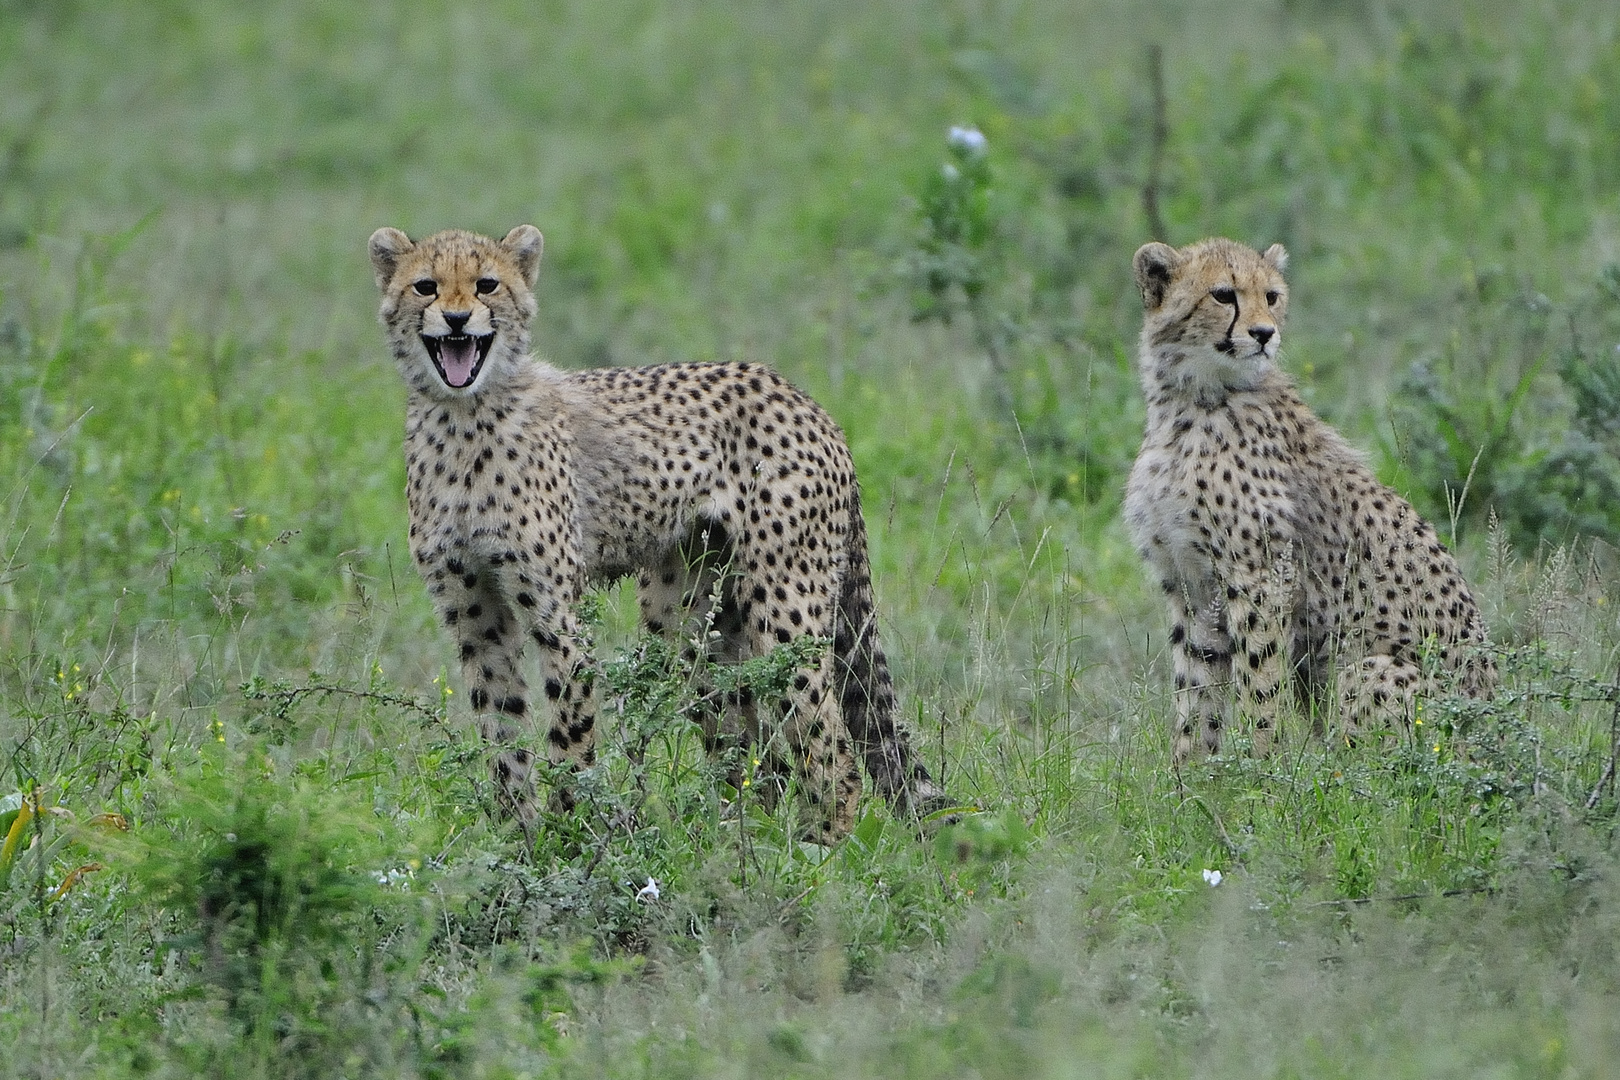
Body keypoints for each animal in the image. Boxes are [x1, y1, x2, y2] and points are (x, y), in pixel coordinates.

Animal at [367, 223, 946, 841]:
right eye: (426, 287)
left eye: (486, 285)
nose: (456, 319)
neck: (463, 416)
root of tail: (804, 399)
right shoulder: (476, 617)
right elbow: (500, 732)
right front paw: (516, 838)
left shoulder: (556, 613)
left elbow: (570, 733)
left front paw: (571, 837)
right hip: (688, 614)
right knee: (753, 753)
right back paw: (731, 843)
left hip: (785, 602)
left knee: (829, 747)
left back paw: (816, 851)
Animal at [1127, 238, 1490, 761]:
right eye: (1223, 295)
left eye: (1272, 296)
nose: (1263, 333)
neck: (1190, 399)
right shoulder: (1190, 582)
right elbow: (1196, 691)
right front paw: (1189, 774)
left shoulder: (1260, 576)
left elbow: (1259, 685)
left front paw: (1260, 768)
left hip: (1370, 672)